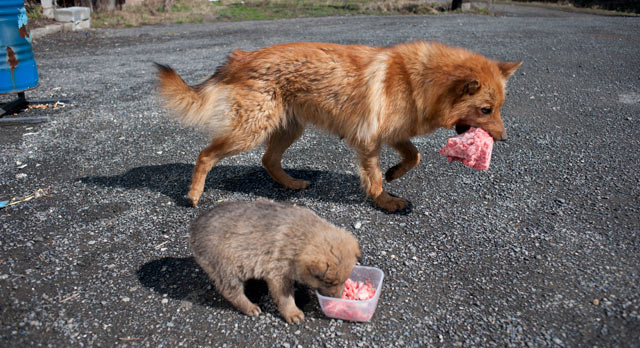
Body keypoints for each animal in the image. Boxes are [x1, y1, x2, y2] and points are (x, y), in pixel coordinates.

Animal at [155, 39, 520, 211]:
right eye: (486, 109)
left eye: (499, 108)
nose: (504, 139)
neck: (420, 80)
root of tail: (241, 57)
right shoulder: (370, 140)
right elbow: (374, 177)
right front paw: (385, 201)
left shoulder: (394, 133)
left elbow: (414, 156)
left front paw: (394, 174)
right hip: (251, 131)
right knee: (205, 155)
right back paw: (194, 193)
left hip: (288, 129)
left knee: (268, 160)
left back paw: (291, 184)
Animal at [189, 200, 360, 324]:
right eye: (329, 283)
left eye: (345, 280)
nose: (339, 298)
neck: (304, 239)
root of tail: (194, 228)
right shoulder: (278, 273)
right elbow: (285, 297)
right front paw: (293, 313)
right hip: (224, 267)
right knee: (231, 291)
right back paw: (250, 307)